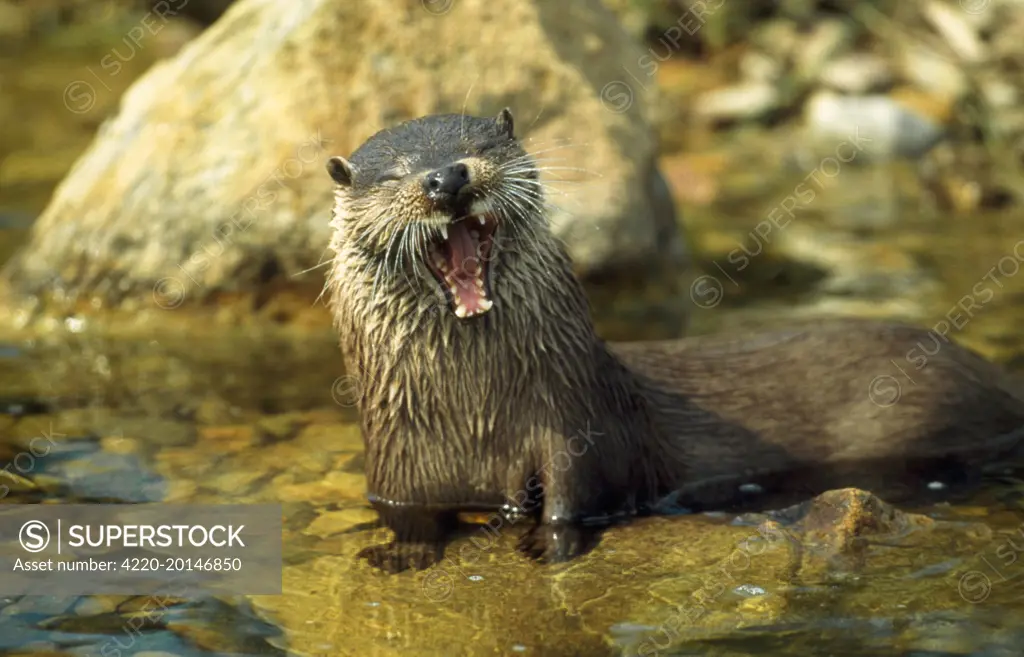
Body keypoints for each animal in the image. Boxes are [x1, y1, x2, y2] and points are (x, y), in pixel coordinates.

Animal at [323, 110, 1024, 568]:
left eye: (481, 144)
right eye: (393, 175)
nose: (447, 178)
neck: (477, 416)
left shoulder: (576, 425)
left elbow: (573, 495)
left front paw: (550, 542)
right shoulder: (397, 464)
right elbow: (409, 516)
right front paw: (403, 553)